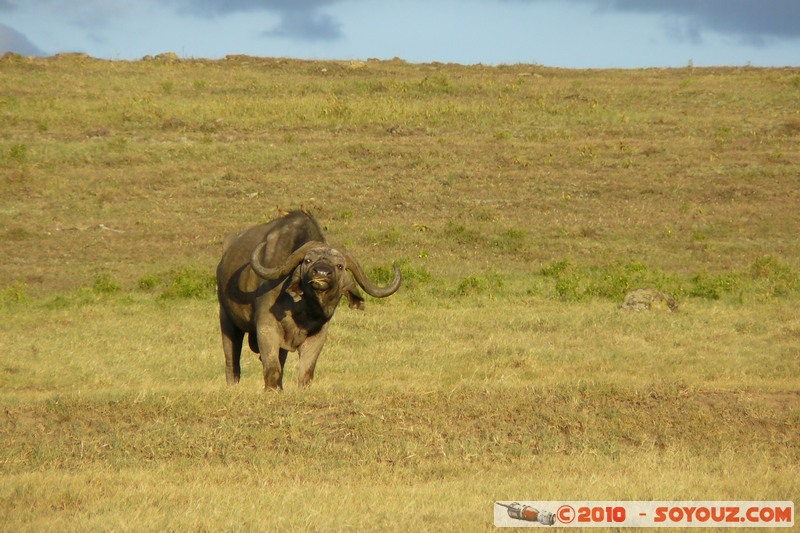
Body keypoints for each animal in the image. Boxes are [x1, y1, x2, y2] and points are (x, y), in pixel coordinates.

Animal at [216, 210, 404, 388]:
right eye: (307, 260)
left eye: (340, 266)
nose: (321, 273)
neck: (301, 309)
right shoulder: (266, 327)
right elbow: (272, 369)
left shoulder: (318, 334)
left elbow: (305, 373)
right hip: (227, 320)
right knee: (232, 361)